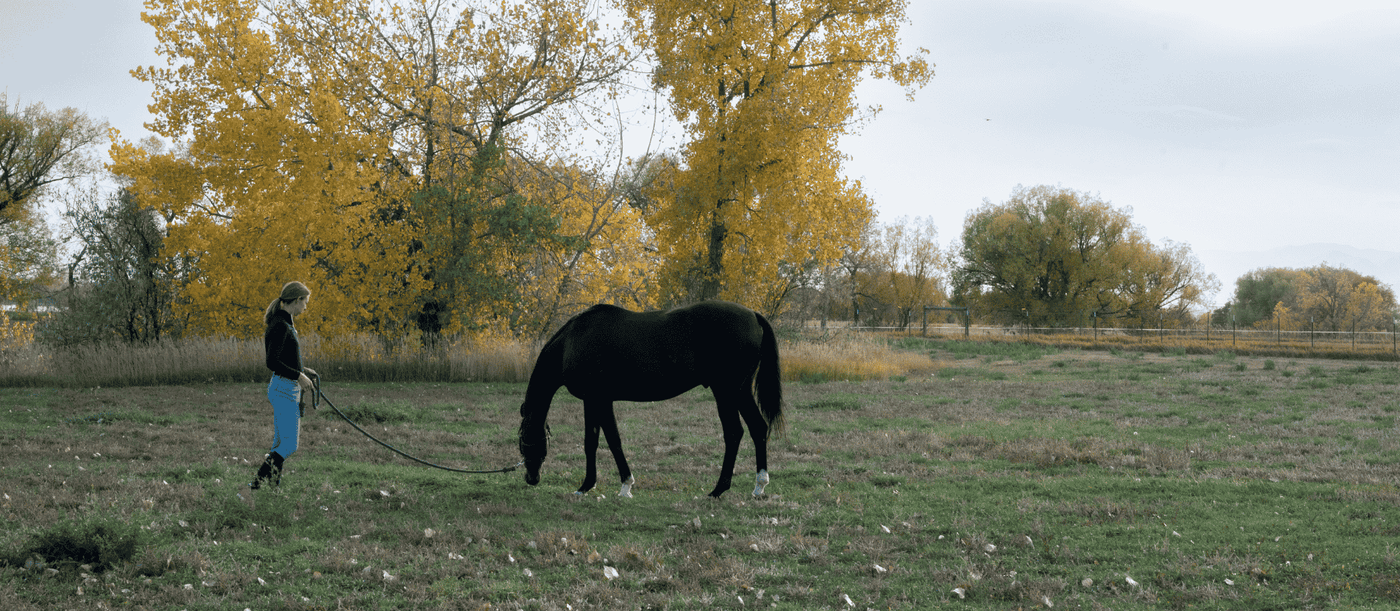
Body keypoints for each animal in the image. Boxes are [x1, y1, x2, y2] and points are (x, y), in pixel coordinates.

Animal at [516, 300, 785, 498]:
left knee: (733, 433)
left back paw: (718, 489)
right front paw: (592, 486)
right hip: (741, 391)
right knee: (758, 428)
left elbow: (608, 441)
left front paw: (619, 486)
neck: (572, 342)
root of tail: (753, 315)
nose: (531, 478)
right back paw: (759, 486)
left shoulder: (598, 400)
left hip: (726, 392)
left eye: (524, 439)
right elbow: (595, 441)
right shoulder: (595, 401)